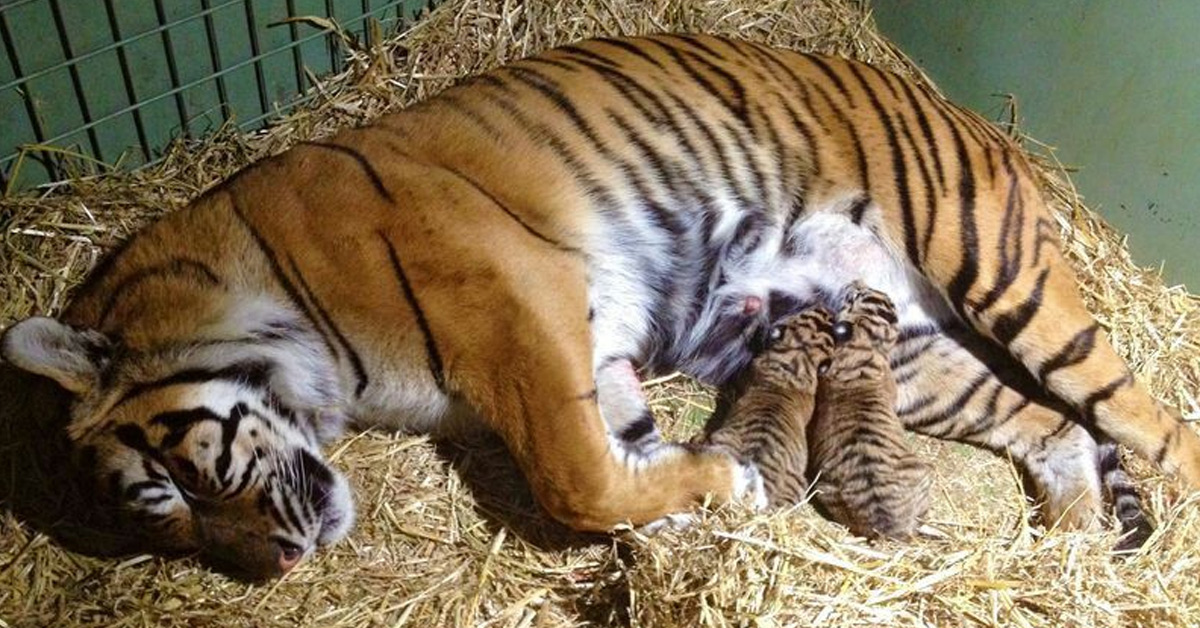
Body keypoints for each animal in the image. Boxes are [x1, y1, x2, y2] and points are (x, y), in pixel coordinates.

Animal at [4, 34, 1195, 581]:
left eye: (171, 483)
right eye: (164, 522)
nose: (278, 566)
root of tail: (974, 114)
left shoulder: (514, 303)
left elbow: (571, 476)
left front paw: (716, 486)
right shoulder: (592, 358)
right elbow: (618, 460)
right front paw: (704, 493)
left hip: (1001, 273)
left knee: (1145, 416)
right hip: (897, 344)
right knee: (1051, 427)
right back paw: (1067, 552)